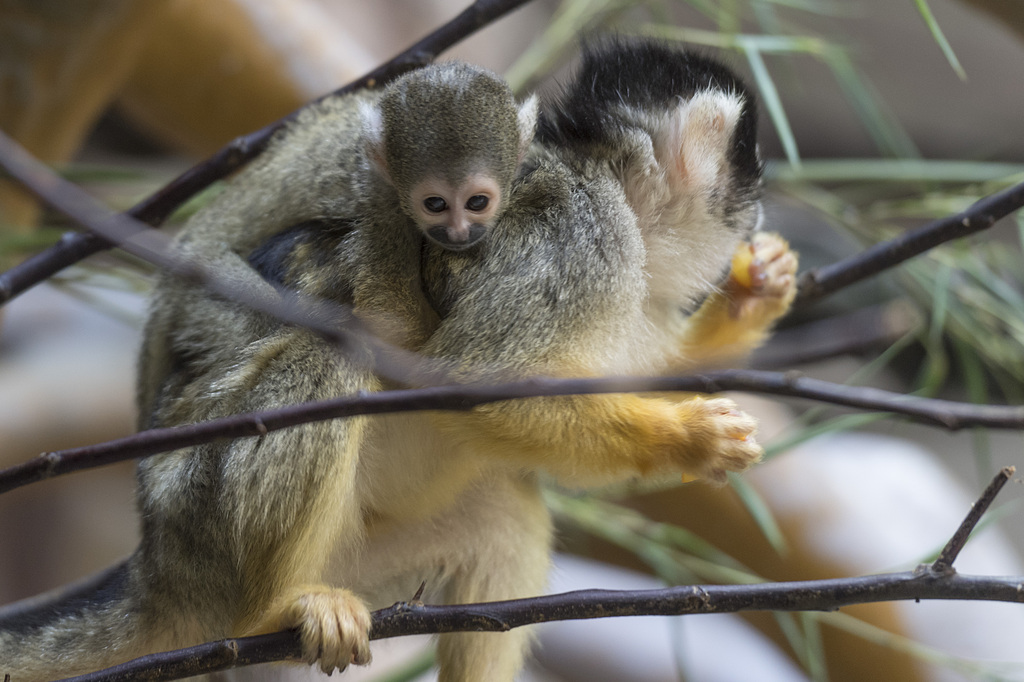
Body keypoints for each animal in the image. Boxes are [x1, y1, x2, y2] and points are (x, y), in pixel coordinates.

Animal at [0, 41, 794, 679]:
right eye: (748, 174)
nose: (756, 214)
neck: (612, 191)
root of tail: (155, 567)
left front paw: (753, 296)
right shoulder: (579, 239)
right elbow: (470, 385)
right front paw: (690, 437)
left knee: (506, 510)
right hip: (196, 511)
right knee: (328, 366)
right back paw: (274, 607)